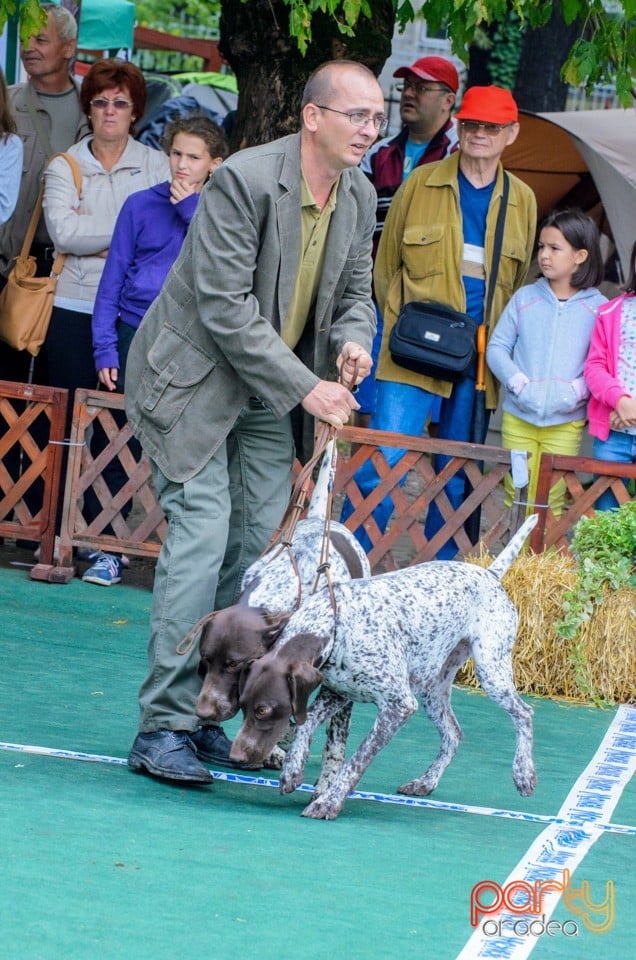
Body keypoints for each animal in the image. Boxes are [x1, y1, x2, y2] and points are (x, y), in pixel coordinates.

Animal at [231, 512, 540, 820]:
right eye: (243, 707)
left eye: (263, 710)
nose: (236, 757)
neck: (337, 625)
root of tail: (489, 574)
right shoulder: (337, 693)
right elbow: (305, 725)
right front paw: (292, 769)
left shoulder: (397, 706)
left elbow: (355, 761)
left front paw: (328, 801)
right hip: (433, 690)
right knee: (453, 734)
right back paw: (425, 782)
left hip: (491, 672)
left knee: (524, 714)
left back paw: (523, 773)